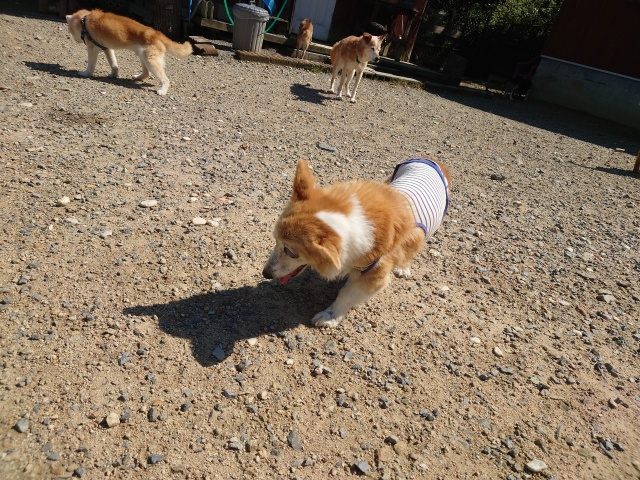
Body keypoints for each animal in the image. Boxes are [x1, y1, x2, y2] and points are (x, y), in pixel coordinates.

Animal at [263, 158, 451, 328]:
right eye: (275, 239)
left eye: (291, 252)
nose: (265, 274)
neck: (354, 218)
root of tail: (435, 162)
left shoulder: (374, 277)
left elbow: (346, 296)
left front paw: (329, 317)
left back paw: (403, 267)